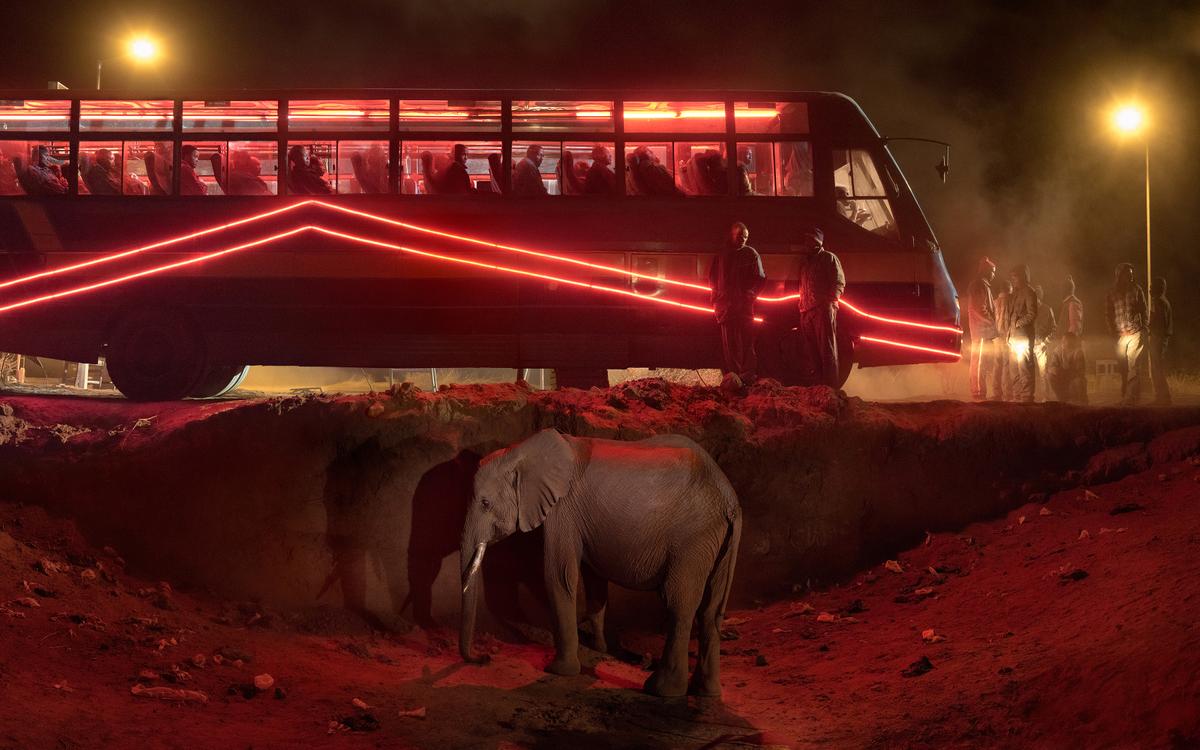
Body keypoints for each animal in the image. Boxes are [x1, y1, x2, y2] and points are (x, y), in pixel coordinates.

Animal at [458, 429, 739, 700]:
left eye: (485, 503)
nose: (484, 658)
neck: (519, 450)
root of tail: (729, 498)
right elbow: (593, 577)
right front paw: (599, 647)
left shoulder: (564, 509)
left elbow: (559, 576)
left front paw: (559, 671)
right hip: (716, 541)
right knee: (711, 610)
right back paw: (707, 692)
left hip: (692, 540)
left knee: (678, 604)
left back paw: (661, 690)